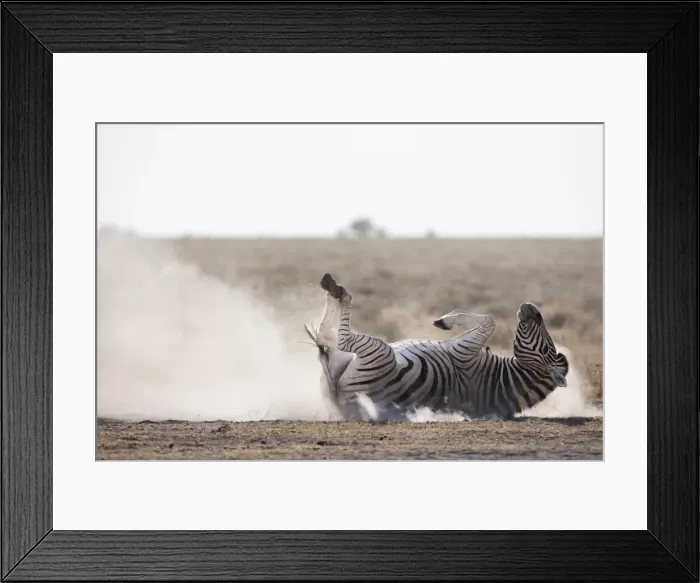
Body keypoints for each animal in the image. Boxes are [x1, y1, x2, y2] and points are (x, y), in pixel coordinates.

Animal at [304, 273, 569, 421]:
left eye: (547, 351)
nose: (533, 308)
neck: (500, 378)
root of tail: (342, 405)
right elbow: (487, 320)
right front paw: (447, 318)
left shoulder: (463, 351)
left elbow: (489, 321)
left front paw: (446, 320)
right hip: (342, 366)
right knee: (328, 343)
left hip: (380, 352)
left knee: (338, 339)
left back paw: (337, 290)